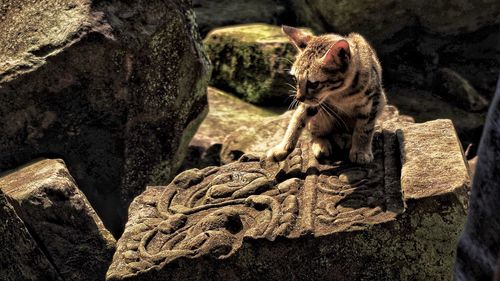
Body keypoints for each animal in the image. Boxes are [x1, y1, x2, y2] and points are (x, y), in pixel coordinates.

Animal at [266, 25, 386, 164]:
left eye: (313, 84)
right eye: (295, 79)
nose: (298, 98)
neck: (341, 93)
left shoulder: (373, 100)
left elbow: (364, 128)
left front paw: (361, 151)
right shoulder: (313, 102)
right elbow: (297, 121)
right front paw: (282, 148)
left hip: (382, 102)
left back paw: (345, 138)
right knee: (317, 133)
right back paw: (322, 143)